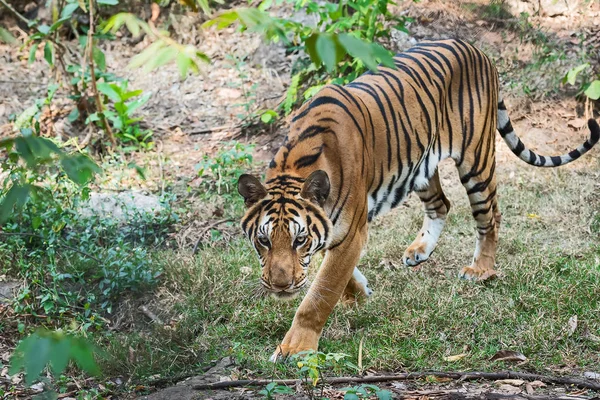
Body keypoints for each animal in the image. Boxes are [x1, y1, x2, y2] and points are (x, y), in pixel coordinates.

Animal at [237, 39, 596, 360]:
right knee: (442, 205)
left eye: (299, 240)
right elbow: (335, 272)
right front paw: (358, 293)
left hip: (476, 160)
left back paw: (481, 269)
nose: (280, 286)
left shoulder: (352, 231)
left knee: (490, 216)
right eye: (264, 241)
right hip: (419, 167)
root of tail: (477, 50)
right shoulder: (341, 231)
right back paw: (419, 251)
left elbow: (319, 294)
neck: (295, 165)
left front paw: (295, 348)